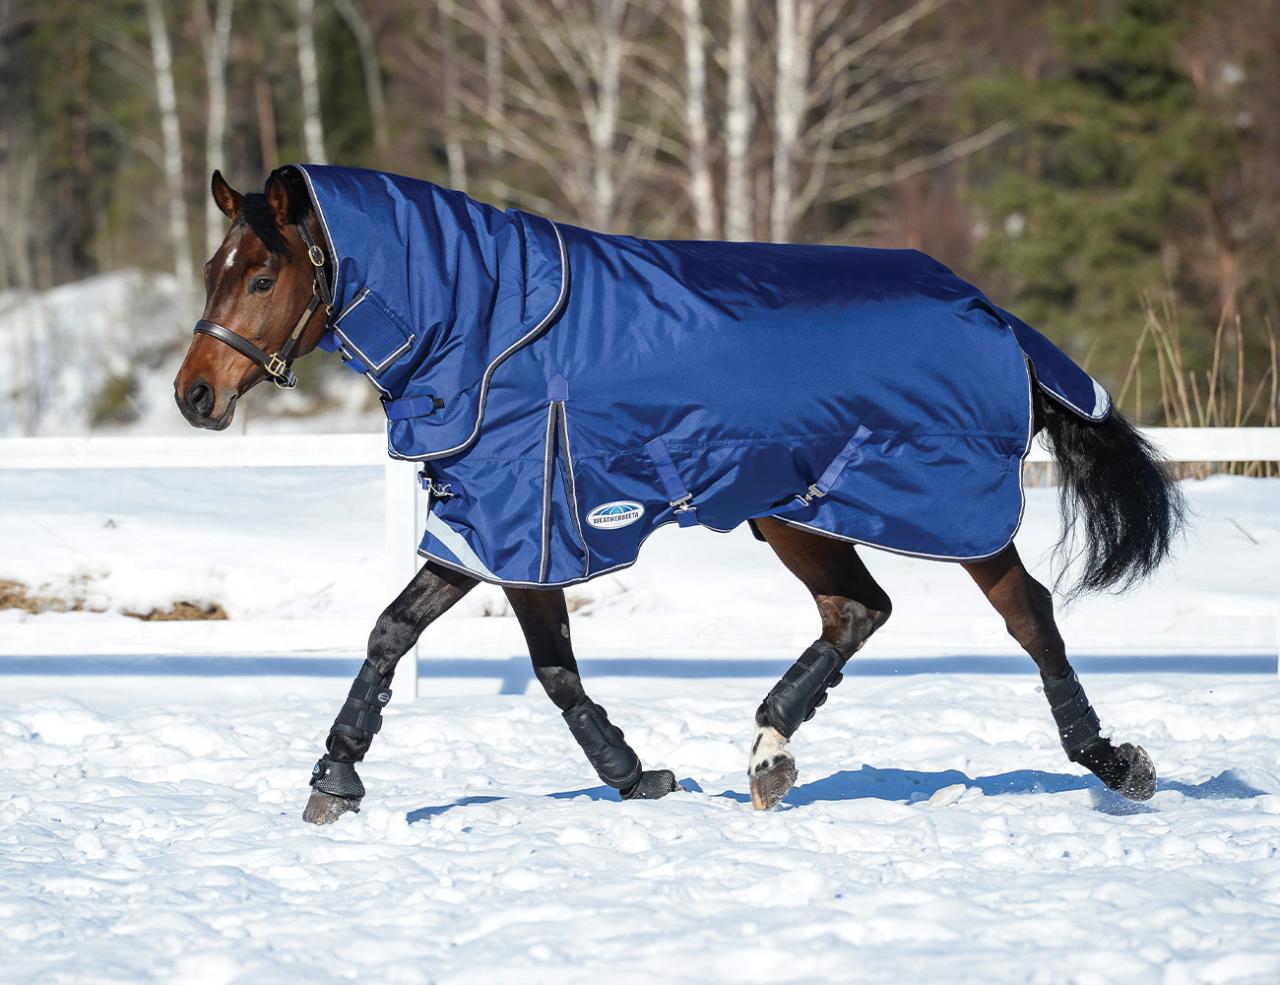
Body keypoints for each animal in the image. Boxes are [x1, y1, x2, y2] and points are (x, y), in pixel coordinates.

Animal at [174, 166, 1184, 824]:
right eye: (211, 272)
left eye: (261, 274)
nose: (195, 395)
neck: (488, 326)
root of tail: (991, 312)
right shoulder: (518, 527)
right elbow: (533, 663)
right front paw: (633, 773)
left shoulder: (513, 515)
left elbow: (408, 631)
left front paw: (335, 779)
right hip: (796, 507)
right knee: (857, 609)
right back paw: (770, 752)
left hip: (948, 509)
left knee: (1028, 613)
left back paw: (1112, 762)